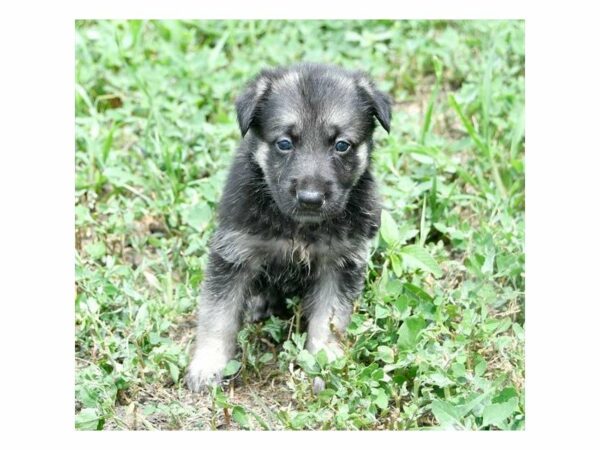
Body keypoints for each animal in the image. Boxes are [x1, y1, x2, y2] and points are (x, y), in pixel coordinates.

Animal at [188, 63, 394, 394]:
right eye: (284, 143)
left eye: (342, 145)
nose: (311, 199)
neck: (298, 228)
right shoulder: (233, 254)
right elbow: (218, 316)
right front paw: (208, 365)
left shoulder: (340, 265)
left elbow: (329, 321)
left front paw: (326, 364)